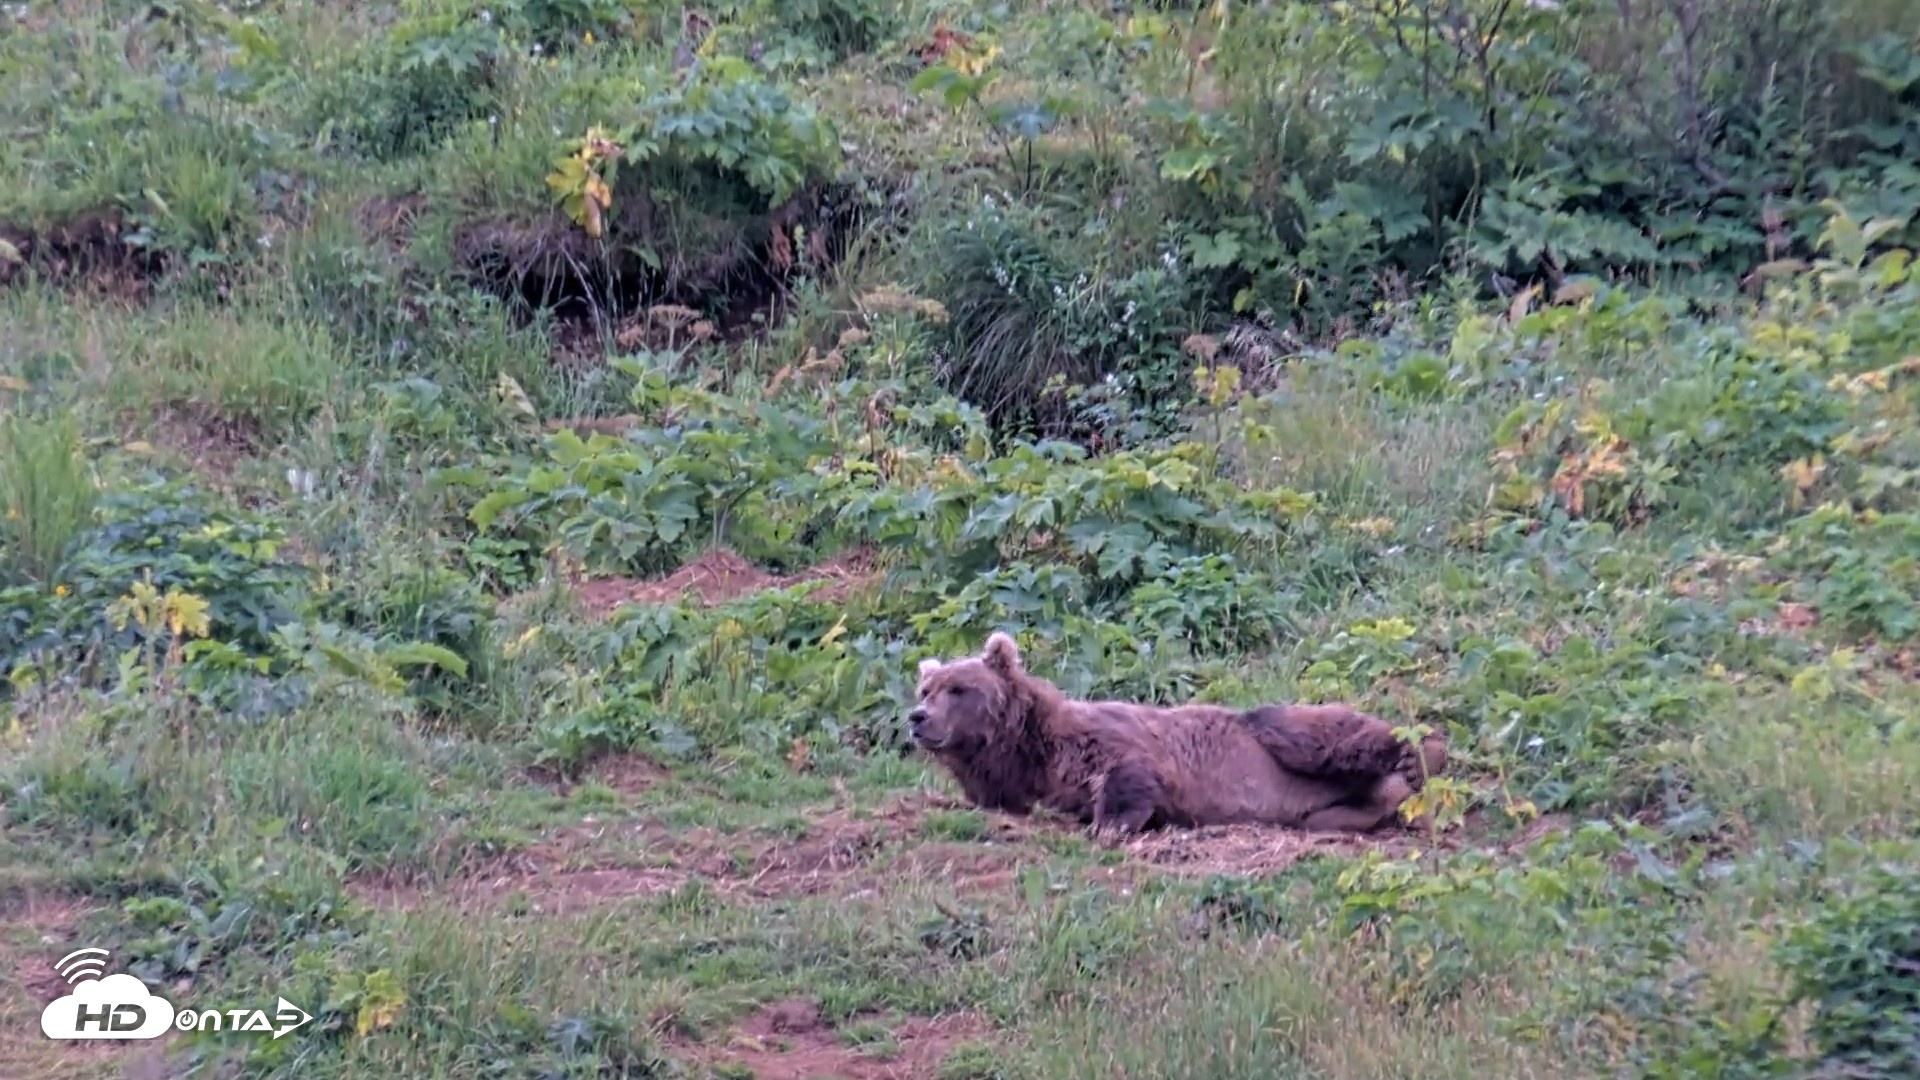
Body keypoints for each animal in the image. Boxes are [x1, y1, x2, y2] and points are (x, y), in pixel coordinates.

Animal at [906, 631, 1448, 840]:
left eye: (958, 688)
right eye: (926, 687)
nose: (917, 717)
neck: (1020, 746)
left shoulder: (1104, 738)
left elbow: (1128, 771)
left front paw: (1110, 823)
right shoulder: (1011, 782)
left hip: (1275, 732)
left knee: (1318, 736)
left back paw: (1421, 759)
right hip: (1324, 810)